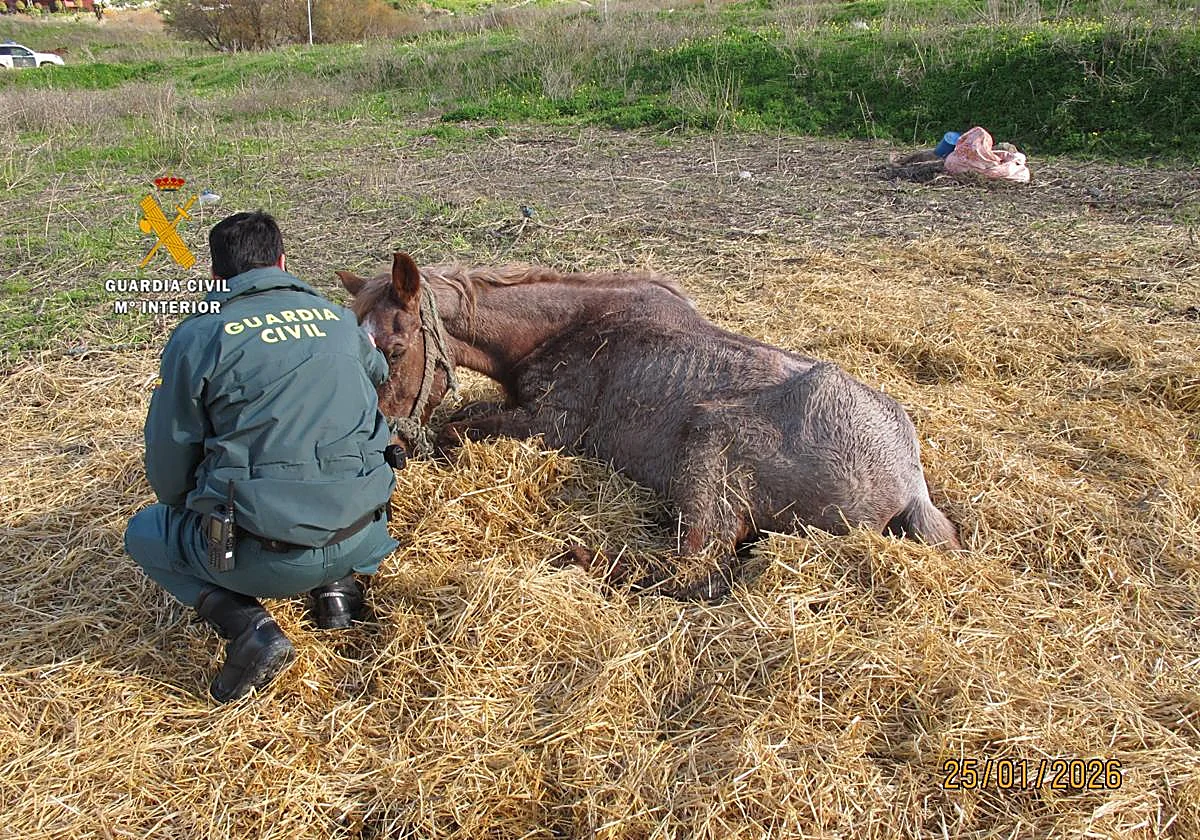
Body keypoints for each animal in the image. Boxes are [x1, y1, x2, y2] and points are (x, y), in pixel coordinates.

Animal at [338, 253, 962, 600]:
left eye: (394, 351)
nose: (388, 450)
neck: (565, 329)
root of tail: (909, 486)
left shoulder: (552, 425)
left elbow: (455, 430)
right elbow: (461, 418)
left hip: (706, 450)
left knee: (691, 567)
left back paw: (583, 559)